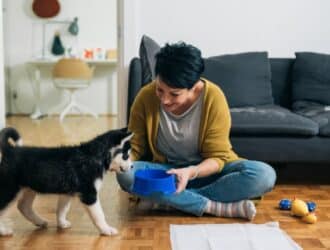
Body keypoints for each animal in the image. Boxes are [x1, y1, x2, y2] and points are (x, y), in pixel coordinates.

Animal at [0, 127, 133, 236]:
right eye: (126, 156)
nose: (132, 166)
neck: (96, 156)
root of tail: (10, 150)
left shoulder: (67, 192)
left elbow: (62, 209)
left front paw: (61, 223)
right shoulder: (89, 194)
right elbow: (99, 215)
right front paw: (106, 230)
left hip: (29, 188)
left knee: (23, 206)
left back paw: (40, 221)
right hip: (10, 189)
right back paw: (4, 231)